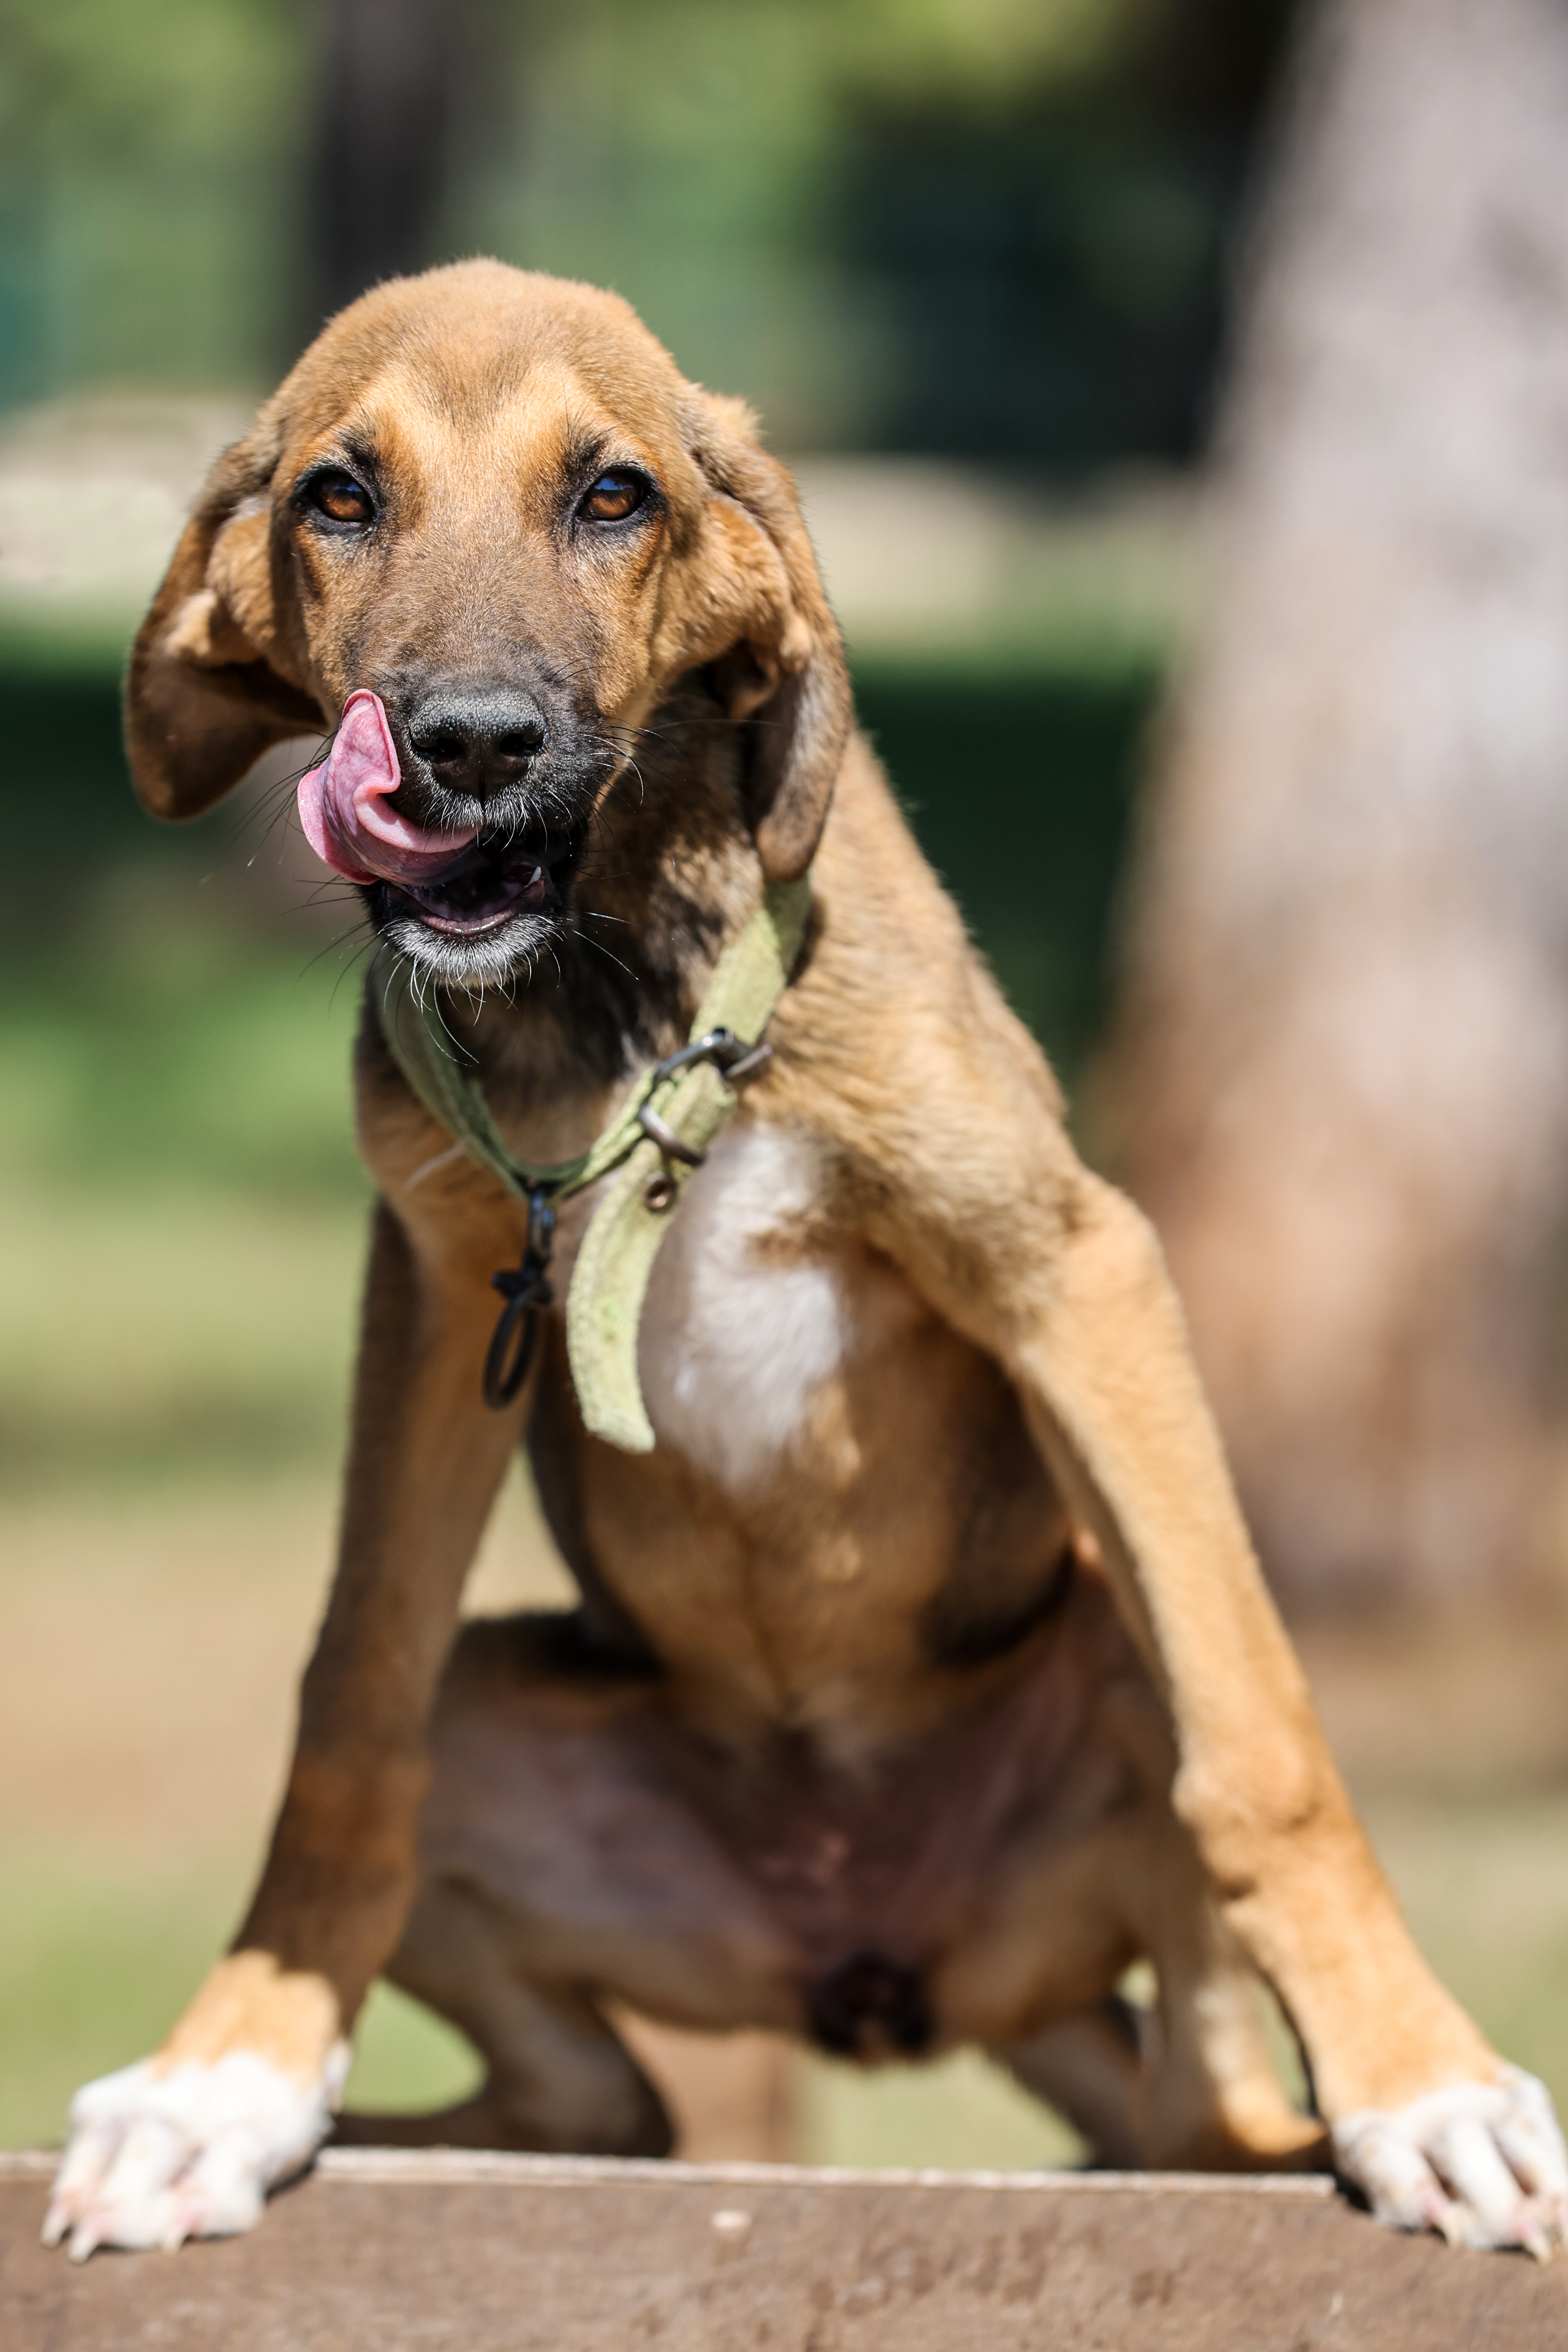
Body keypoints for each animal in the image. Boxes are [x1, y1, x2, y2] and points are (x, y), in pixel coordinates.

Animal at [43, 258, 1561, 2258]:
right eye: (338, 497)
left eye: (613, 495)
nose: (466, 745)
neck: (628, 996)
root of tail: (865, 1955)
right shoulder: (439, 1298)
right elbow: (345, 1718)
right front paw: (229, 2065)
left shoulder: (1067, 1267)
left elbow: (1265, 1745)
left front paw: (1420, 2081)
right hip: (513, 1725)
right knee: (604, 2106)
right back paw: (324, 2111)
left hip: (1108, 1661)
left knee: (1192, 2102)